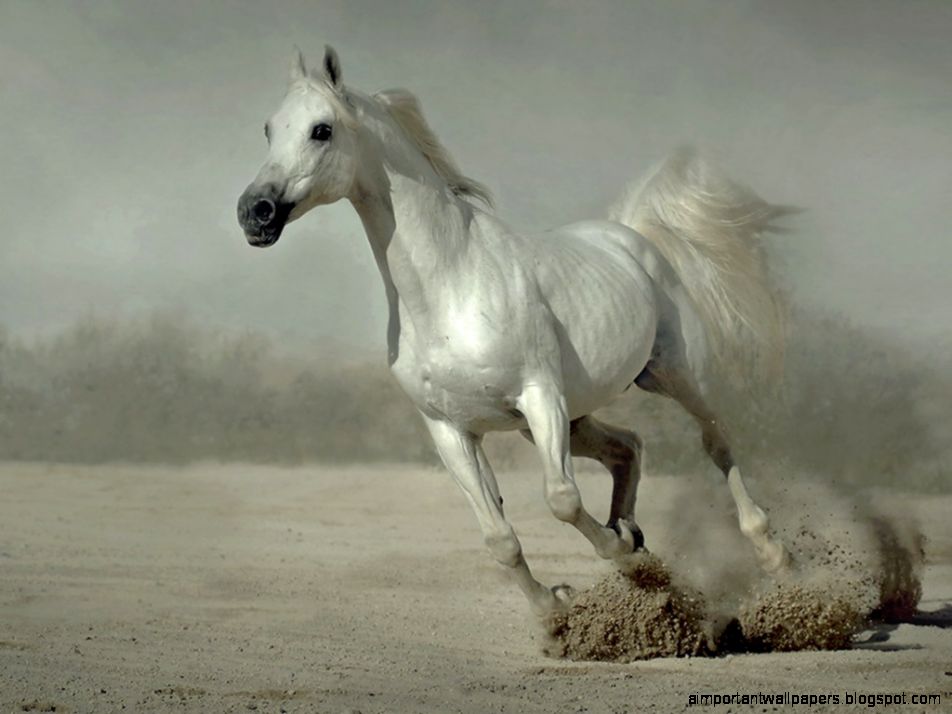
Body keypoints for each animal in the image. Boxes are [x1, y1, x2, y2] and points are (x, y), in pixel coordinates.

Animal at [237, 47, 791, 616]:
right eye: (269, 129)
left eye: (321, 130)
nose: (254, 213)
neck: (451, 287)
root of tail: (630, 236)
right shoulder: (451, 430)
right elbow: (499, 537)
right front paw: (558, 607)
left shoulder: (540, 396)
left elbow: (562, 500)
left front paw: (615, 557)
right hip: (570, 417)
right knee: (629, 447)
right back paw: (633, 535)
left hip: (672, 377)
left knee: (716, 440)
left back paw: (771, 554)